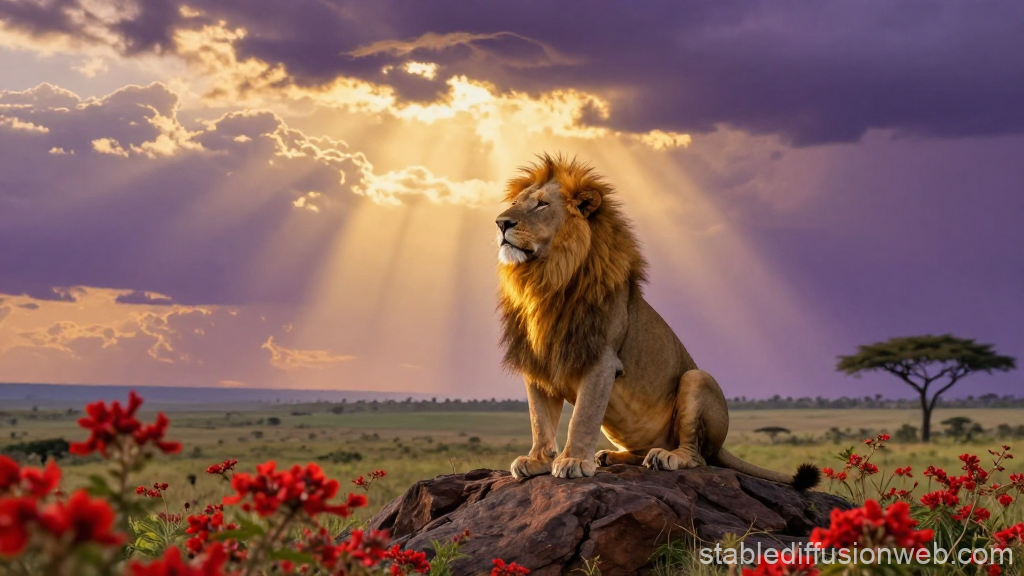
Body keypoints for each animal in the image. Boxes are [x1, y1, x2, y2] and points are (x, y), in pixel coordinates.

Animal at [496, 154, 819, 490]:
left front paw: (573, 461)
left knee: (696, 455)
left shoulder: (602, 361)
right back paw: (609, 456)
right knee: (644, 452)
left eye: (541, 205)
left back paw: (666, 457)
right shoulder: (537, 362)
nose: (501, 222)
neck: (544, 281)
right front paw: (538, 461)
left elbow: (582, 417)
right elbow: (539, 419)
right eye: (515, 203)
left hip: (697, 379)